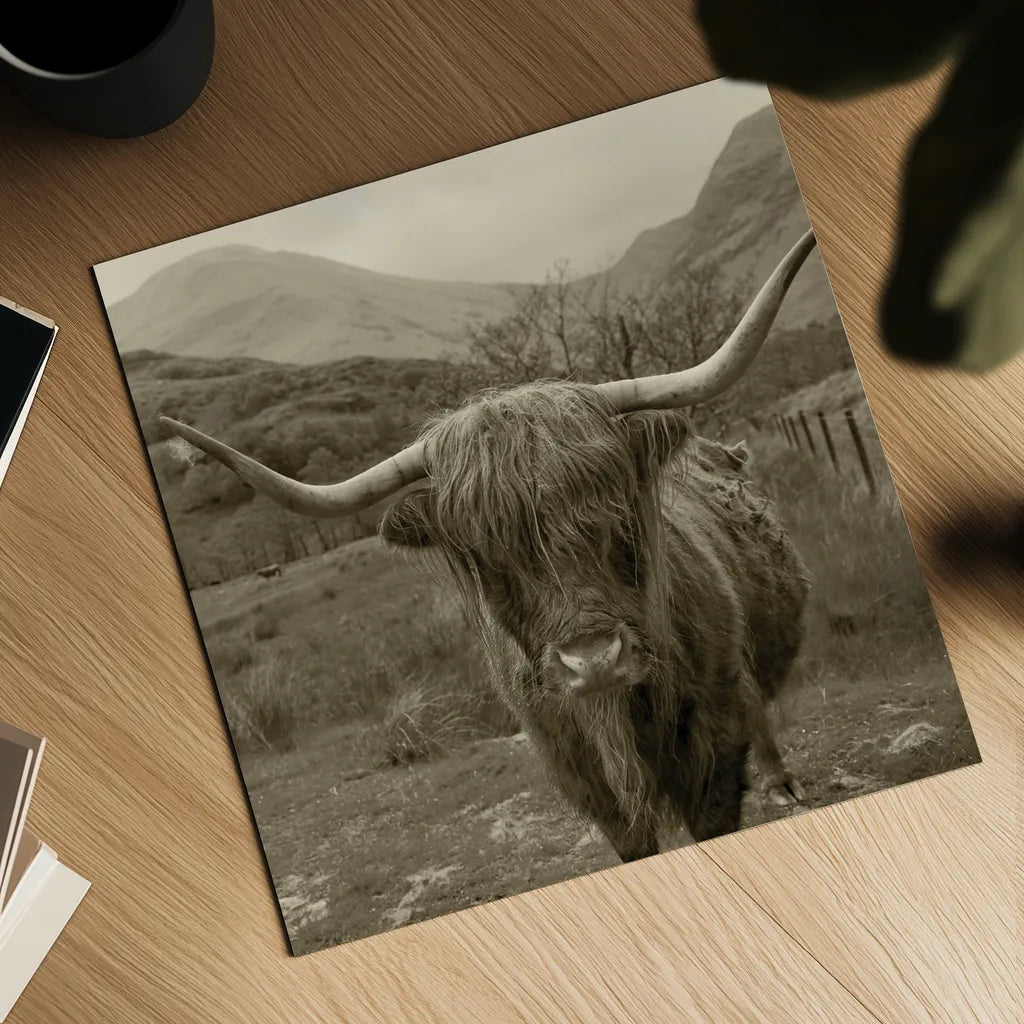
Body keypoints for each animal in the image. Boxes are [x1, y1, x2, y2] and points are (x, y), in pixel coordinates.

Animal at [161, 230, 817, 862]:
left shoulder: (712, 750)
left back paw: (784, 782)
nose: (593, 662)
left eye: (616, 510)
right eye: (486, 553)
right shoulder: (584, 779)